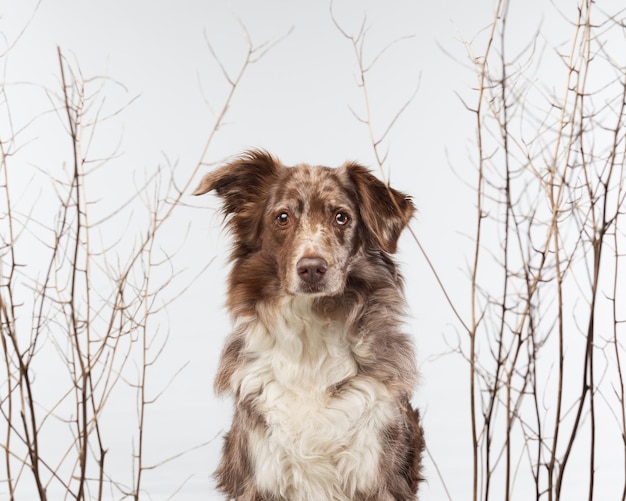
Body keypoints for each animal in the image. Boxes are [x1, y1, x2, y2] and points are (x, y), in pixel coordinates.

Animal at [193, 150, 422, 498]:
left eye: (341, 217)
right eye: (282, 217)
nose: (312, 268)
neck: (311, 332)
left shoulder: (376, 474)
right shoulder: (261, 475)